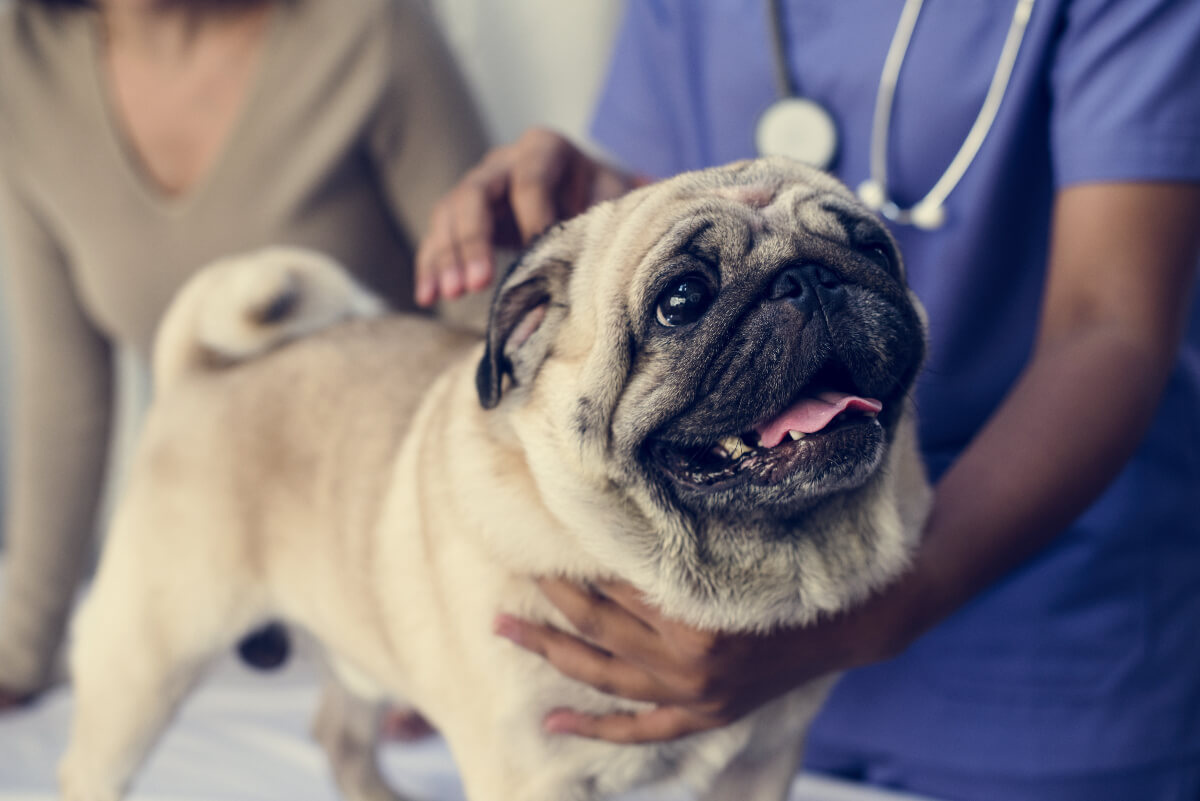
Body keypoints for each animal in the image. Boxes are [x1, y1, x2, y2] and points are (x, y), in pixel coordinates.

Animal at [60, 158, 931, 801]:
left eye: (873, 250)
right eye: (681, 300)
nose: (809, 278)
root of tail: (196, 375)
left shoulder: (761, 765)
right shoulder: (532, 774)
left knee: (338, 732)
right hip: (146, 659)